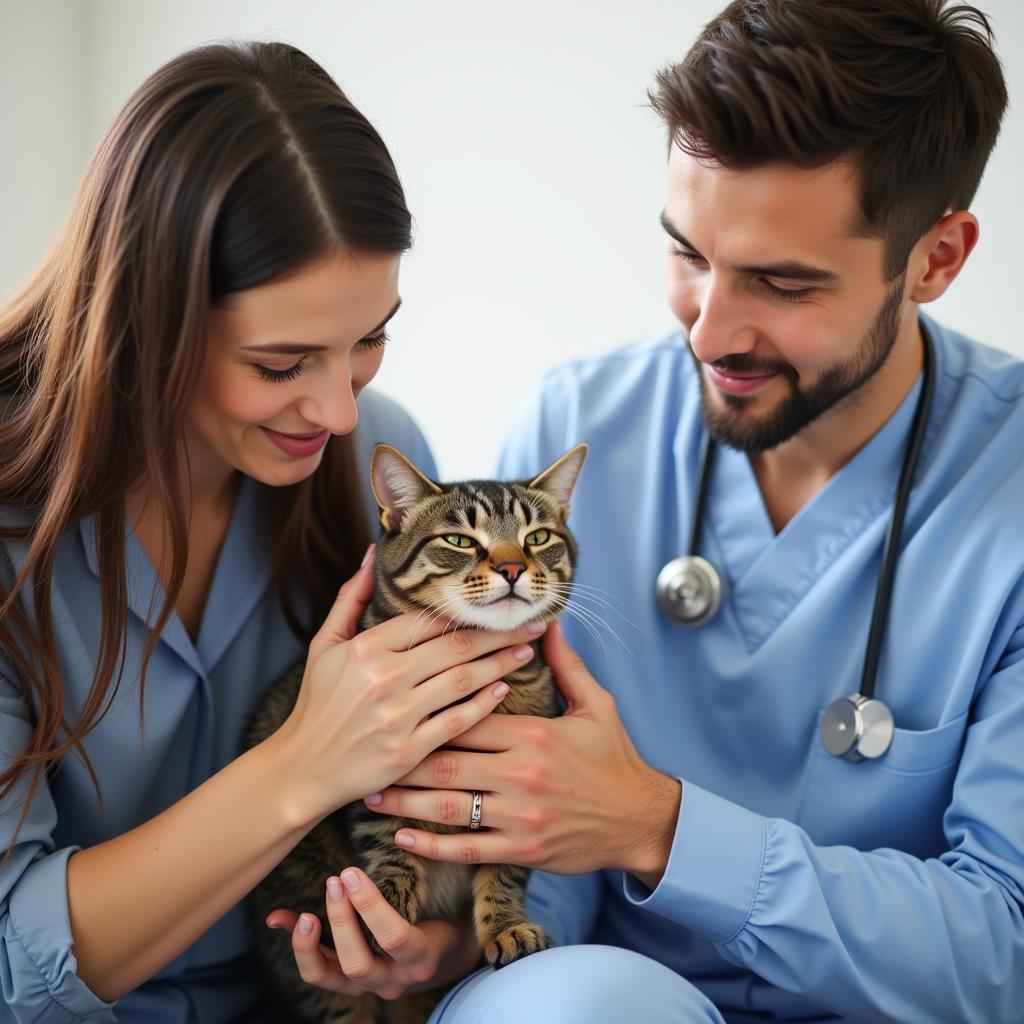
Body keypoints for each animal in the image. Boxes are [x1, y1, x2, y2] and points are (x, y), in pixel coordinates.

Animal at [243, 440, 589, 1024]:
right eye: (459, 540)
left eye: (537, 537)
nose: (513, 567)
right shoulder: (371, 772)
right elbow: (389, 843)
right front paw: (385, 903)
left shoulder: (519, 799)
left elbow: (504, 871)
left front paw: (506, 926)